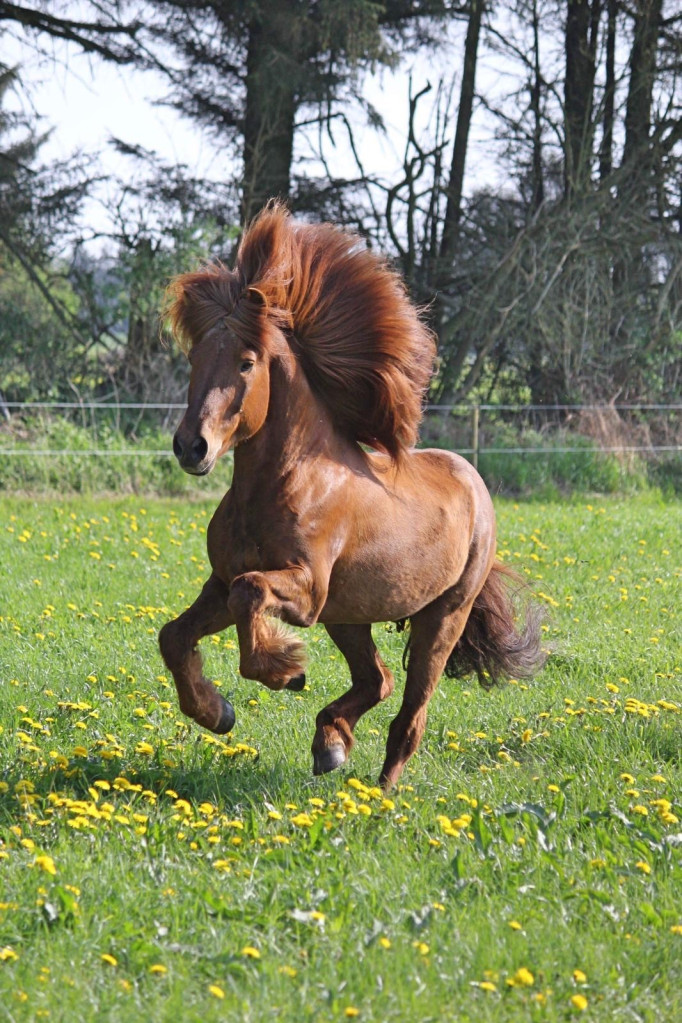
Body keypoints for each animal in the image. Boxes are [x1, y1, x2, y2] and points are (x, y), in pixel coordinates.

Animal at [160, 201, 543, 789]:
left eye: (247, 361)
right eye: (195, 357)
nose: (191, 446)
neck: (288, 483)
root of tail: (472, 480)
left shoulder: (306, 591)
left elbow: (251, 592)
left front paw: (285, 670)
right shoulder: (220, 583)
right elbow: (174, 636)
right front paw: (216, 711)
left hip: (440, 617)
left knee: (409, 715)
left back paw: (379, 794)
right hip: (349, 615)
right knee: (377, 679)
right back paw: (331, 745)